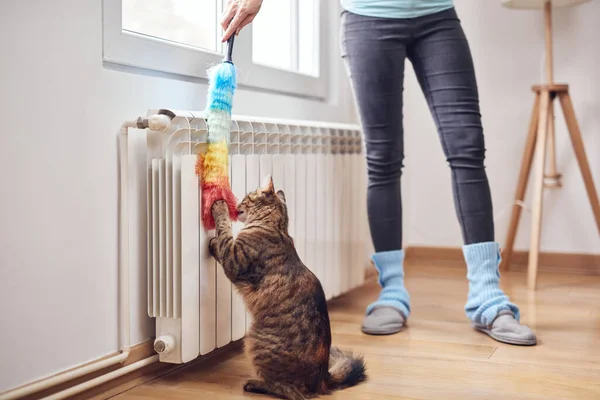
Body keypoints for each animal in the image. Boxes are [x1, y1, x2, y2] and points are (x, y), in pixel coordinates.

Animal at [209, 177, 366, 398]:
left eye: (247, 197)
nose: (237, 204)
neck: (276, 226)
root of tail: (323, 379)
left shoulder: (235, 258)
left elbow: (223, 234)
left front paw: (219, 210)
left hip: (254, 341)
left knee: (285, 389)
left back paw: (254, 384)